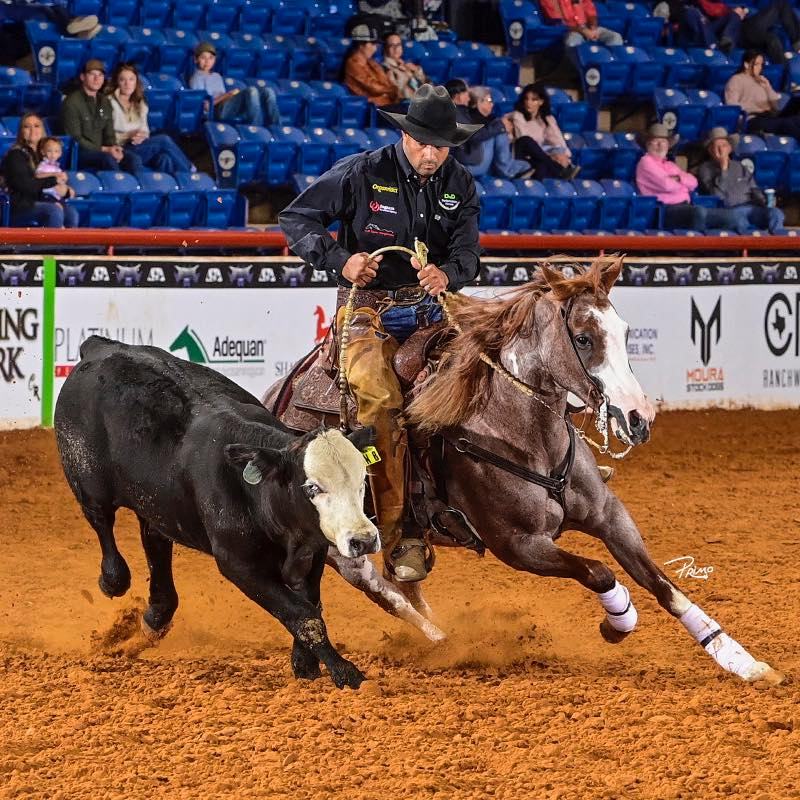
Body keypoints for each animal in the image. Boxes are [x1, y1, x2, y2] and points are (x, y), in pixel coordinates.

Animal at [263, 255, 784, 684]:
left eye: (626, 332)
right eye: (583, 337)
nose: (638, 418)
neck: (520, 432)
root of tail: (277, 396)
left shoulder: (610, 517)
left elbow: (663, 586)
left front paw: (741, 661)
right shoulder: (519, 545)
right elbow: (599, 573)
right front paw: (618, 622)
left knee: (402, 582)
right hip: (338, 543)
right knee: (379, 589)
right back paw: (441, 642)